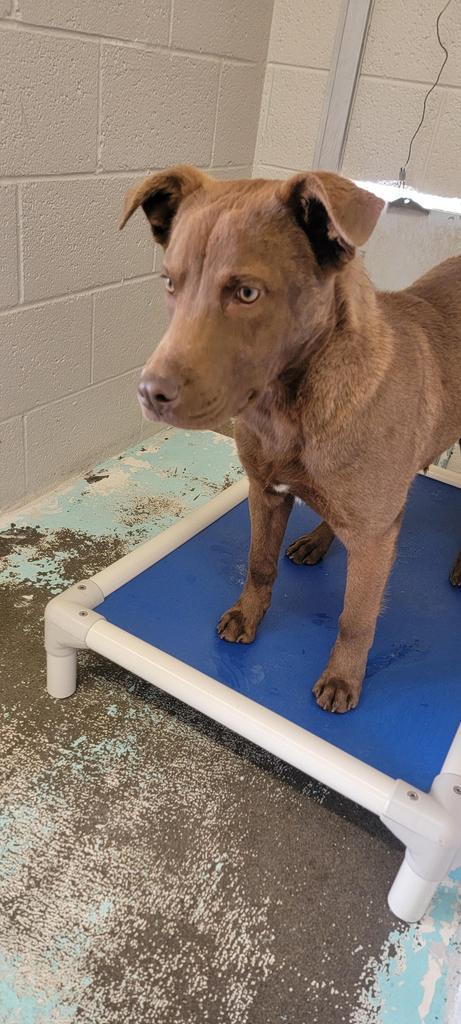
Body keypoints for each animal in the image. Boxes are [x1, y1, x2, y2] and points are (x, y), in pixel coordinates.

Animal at [120, 167, 461, 712]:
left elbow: (356, 617)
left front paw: (343, 677)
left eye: (247, 294)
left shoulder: (374, 537)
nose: (150, 394)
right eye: (170, 283)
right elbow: (259, 565)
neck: (291, 409)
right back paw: (318, 540)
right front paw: (248, 615)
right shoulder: (265, 492)